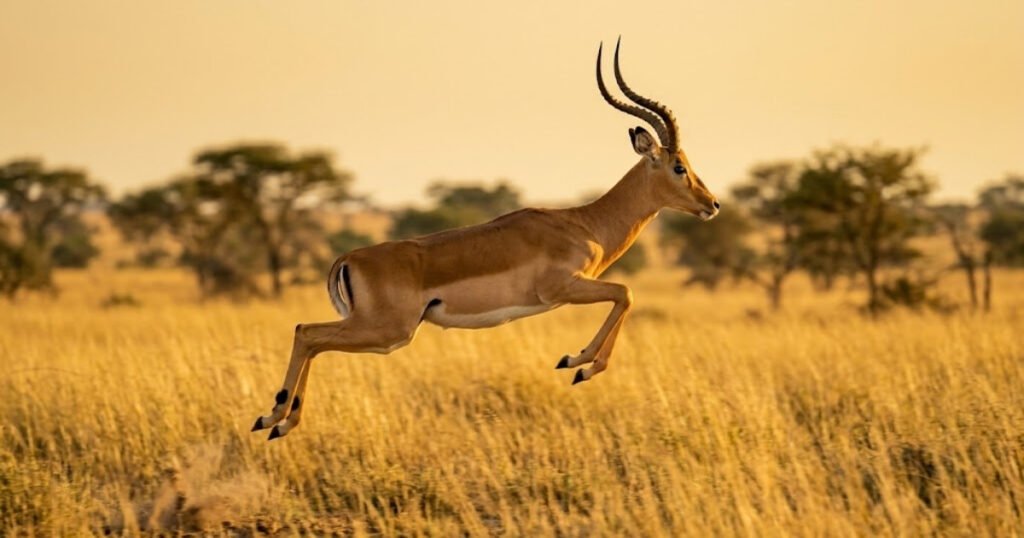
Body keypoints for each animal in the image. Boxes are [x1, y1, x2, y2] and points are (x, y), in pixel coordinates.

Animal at [252, 39, 719, 440]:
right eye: (678, 166)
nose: (712, 203)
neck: (585, 224)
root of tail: (347, 259)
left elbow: (624, 295)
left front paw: (576, 362)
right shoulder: (562, 289)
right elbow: (626, 293)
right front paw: (578, 364)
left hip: (375, 330)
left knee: (311, 338)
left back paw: (278, 422)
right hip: (386, 332)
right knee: (307, 332)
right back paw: (272, 417)